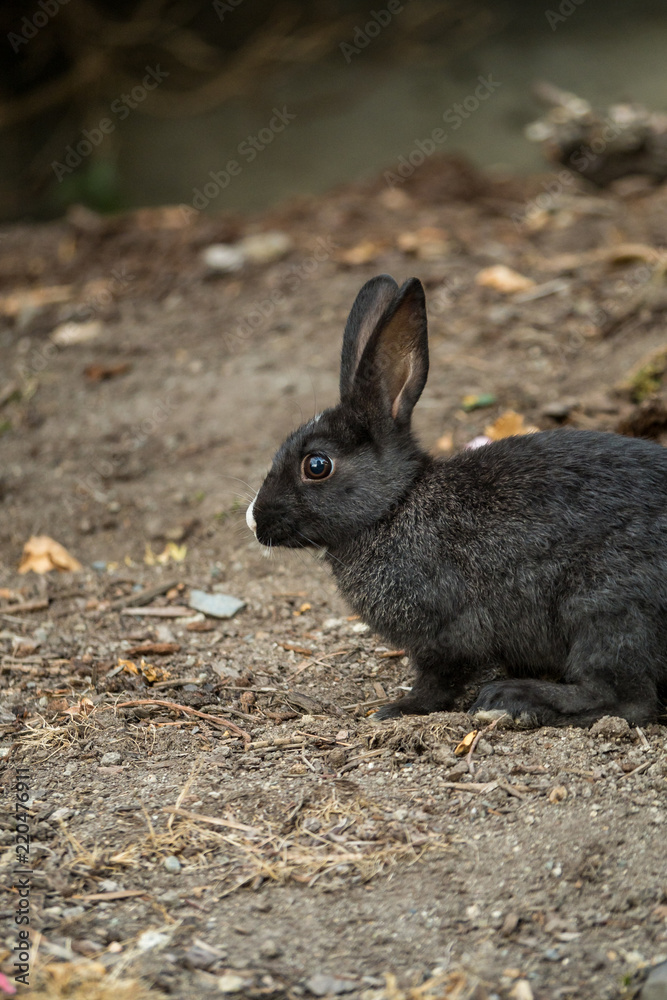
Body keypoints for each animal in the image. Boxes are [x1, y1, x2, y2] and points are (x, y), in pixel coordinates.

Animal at [246, 273, 667, 727]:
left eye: (317, 465)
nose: (254, 521)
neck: (396, 504)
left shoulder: (447, 634)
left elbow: (439, 682)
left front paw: (398, 708)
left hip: (605, 612)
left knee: (625, 700)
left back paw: (511, 697)